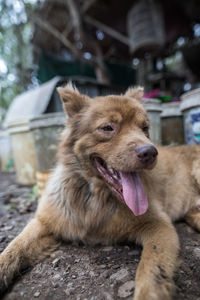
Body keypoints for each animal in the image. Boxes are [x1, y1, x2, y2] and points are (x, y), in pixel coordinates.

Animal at [0, 85, 200, 300]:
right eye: (108, 128)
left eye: (145, 128)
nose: (150, 153)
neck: (96, 197)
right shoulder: (45, 221)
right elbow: (15, 245)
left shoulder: (160, 226)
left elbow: (152, 268)